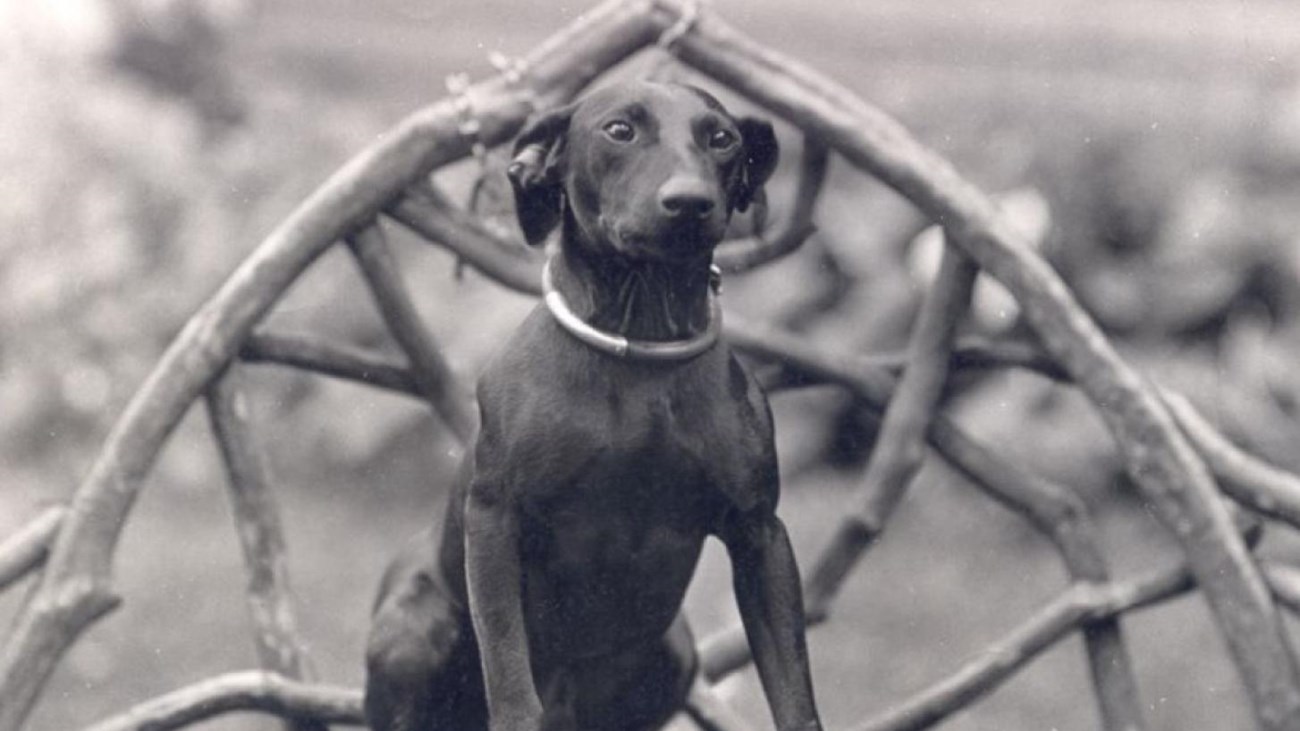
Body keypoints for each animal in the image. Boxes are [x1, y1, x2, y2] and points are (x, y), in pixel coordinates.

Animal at [364, 79, 821, 728]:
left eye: (723, 138)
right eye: (619, 130)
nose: (689, 203)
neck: (640, 347)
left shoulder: (760, 535)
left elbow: (794, 697)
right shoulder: (495, 519)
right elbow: (511, 685)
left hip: (674, 656)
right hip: (409, 633)